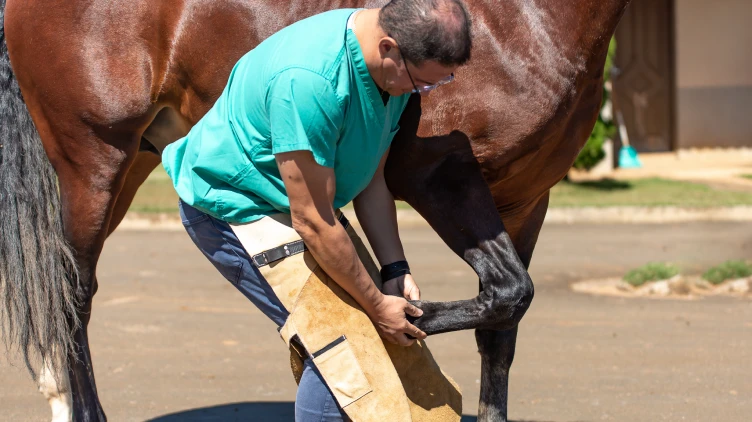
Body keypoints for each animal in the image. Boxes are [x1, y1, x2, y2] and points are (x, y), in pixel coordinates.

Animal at [1, 0, 628, 420]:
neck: (517, 21)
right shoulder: (439, 173)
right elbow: (506, 292)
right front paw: (406, 319)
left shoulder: (526, 200)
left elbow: (503, 327)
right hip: (93, 162)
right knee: (72, 298)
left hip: (134, 161)